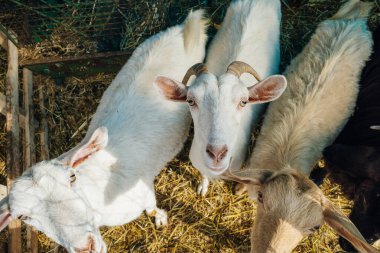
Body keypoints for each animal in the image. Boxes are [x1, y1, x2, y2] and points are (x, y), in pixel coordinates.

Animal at [0, 9, 208, 253]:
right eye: (22, 217)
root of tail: (182, 28)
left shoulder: (144, 190)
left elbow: (151, 205)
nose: (86, 246)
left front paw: (160, 217)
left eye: (72, 177)